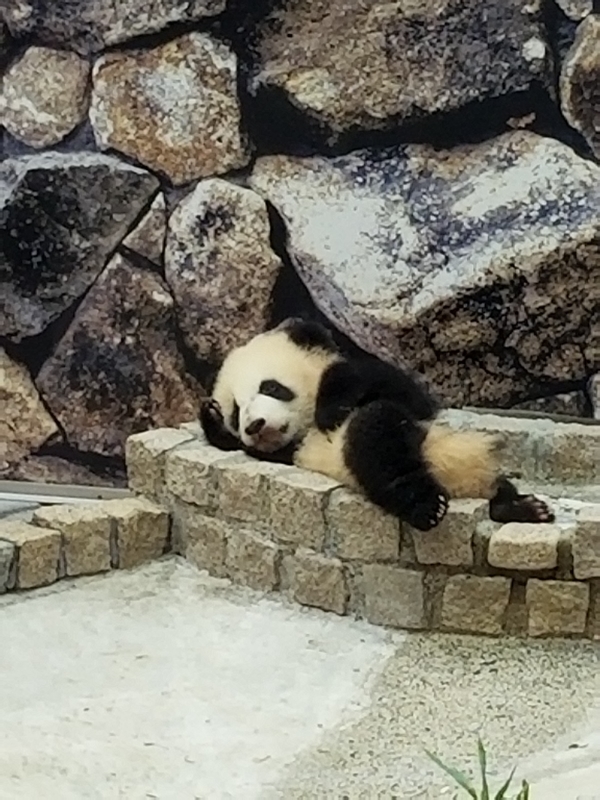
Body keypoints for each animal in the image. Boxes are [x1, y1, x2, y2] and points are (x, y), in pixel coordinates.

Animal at [199, 317, 554, 531]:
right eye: (236, 412)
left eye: (271, 387)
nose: (254, 425)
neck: (306, 429)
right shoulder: (284, 453)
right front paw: (211, 417)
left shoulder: (406, 396)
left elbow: (372, 381)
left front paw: (332, 407)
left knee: (375, 428)